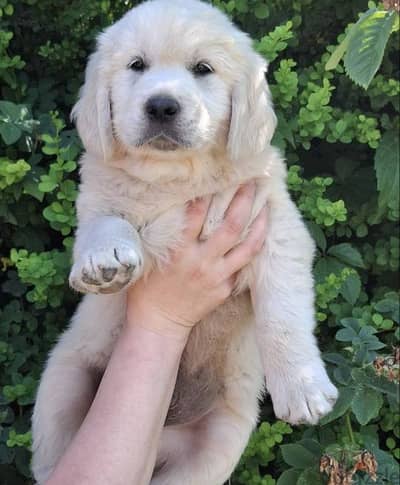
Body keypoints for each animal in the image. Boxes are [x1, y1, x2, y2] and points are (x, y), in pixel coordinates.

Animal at [32, 0, 338, 482]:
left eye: (203, 69)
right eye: (136, 65)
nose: (161, 105)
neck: (175, 177)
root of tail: (161, 438)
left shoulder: (276, 229)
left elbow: (282, 314)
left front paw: (301, 387)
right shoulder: (97, 197)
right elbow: (104, 221)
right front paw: (104, 259)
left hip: (216, 446)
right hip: (60, 389)